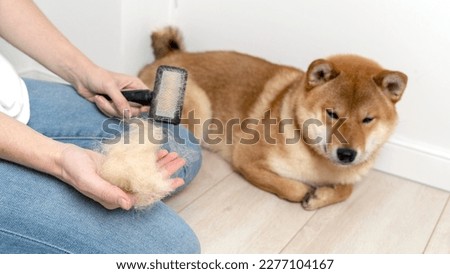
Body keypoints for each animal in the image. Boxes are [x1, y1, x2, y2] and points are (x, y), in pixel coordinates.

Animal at [138, 26, 408, 210]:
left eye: (368, 119)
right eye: (332, 113)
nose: (347, 154)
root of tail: (165, 59)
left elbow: (347, 189)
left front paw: (322, 195)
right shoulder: (247, 159)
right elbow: (291, 187)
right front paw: (307, 192)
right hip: (197, 110)